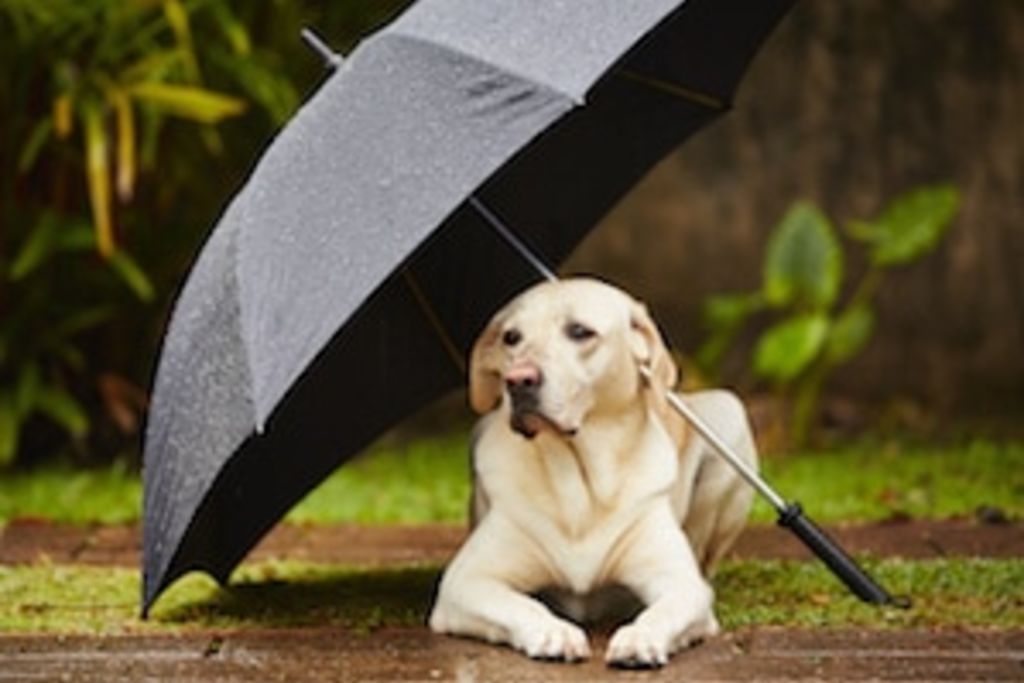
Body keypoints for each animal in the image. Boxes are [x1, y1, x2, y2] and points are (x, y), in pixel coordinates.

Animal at [428, 278, 757, 667]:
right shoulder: (465, 581)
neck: (580, 484)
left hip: (729, 413)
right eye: (511, 337)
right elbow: (519, 604)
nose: (517, 379)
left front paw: (640, 637)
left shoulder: (679, 582)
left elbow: (666, 609)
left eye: (579, 331)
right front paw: (553, 631)